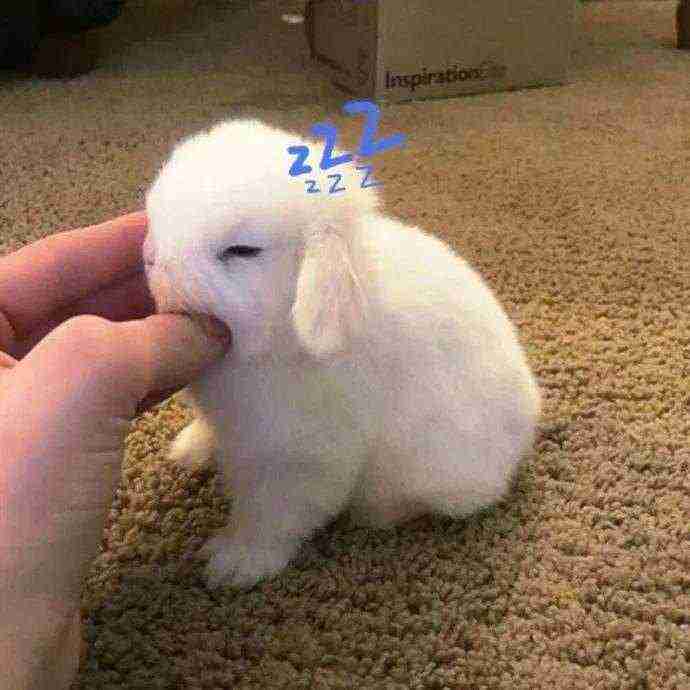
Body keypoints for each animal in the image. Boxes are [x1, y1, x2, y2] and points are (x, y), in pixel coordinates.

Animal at [143, 118, 541, 589]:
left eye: (242, 251)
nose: (151, 259)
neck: (281, 338)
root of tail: (527, 424)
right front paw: (190, 449)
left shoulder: (299, 457)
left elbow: (269, 515)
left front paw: (233, 564)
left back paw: (375, 512)